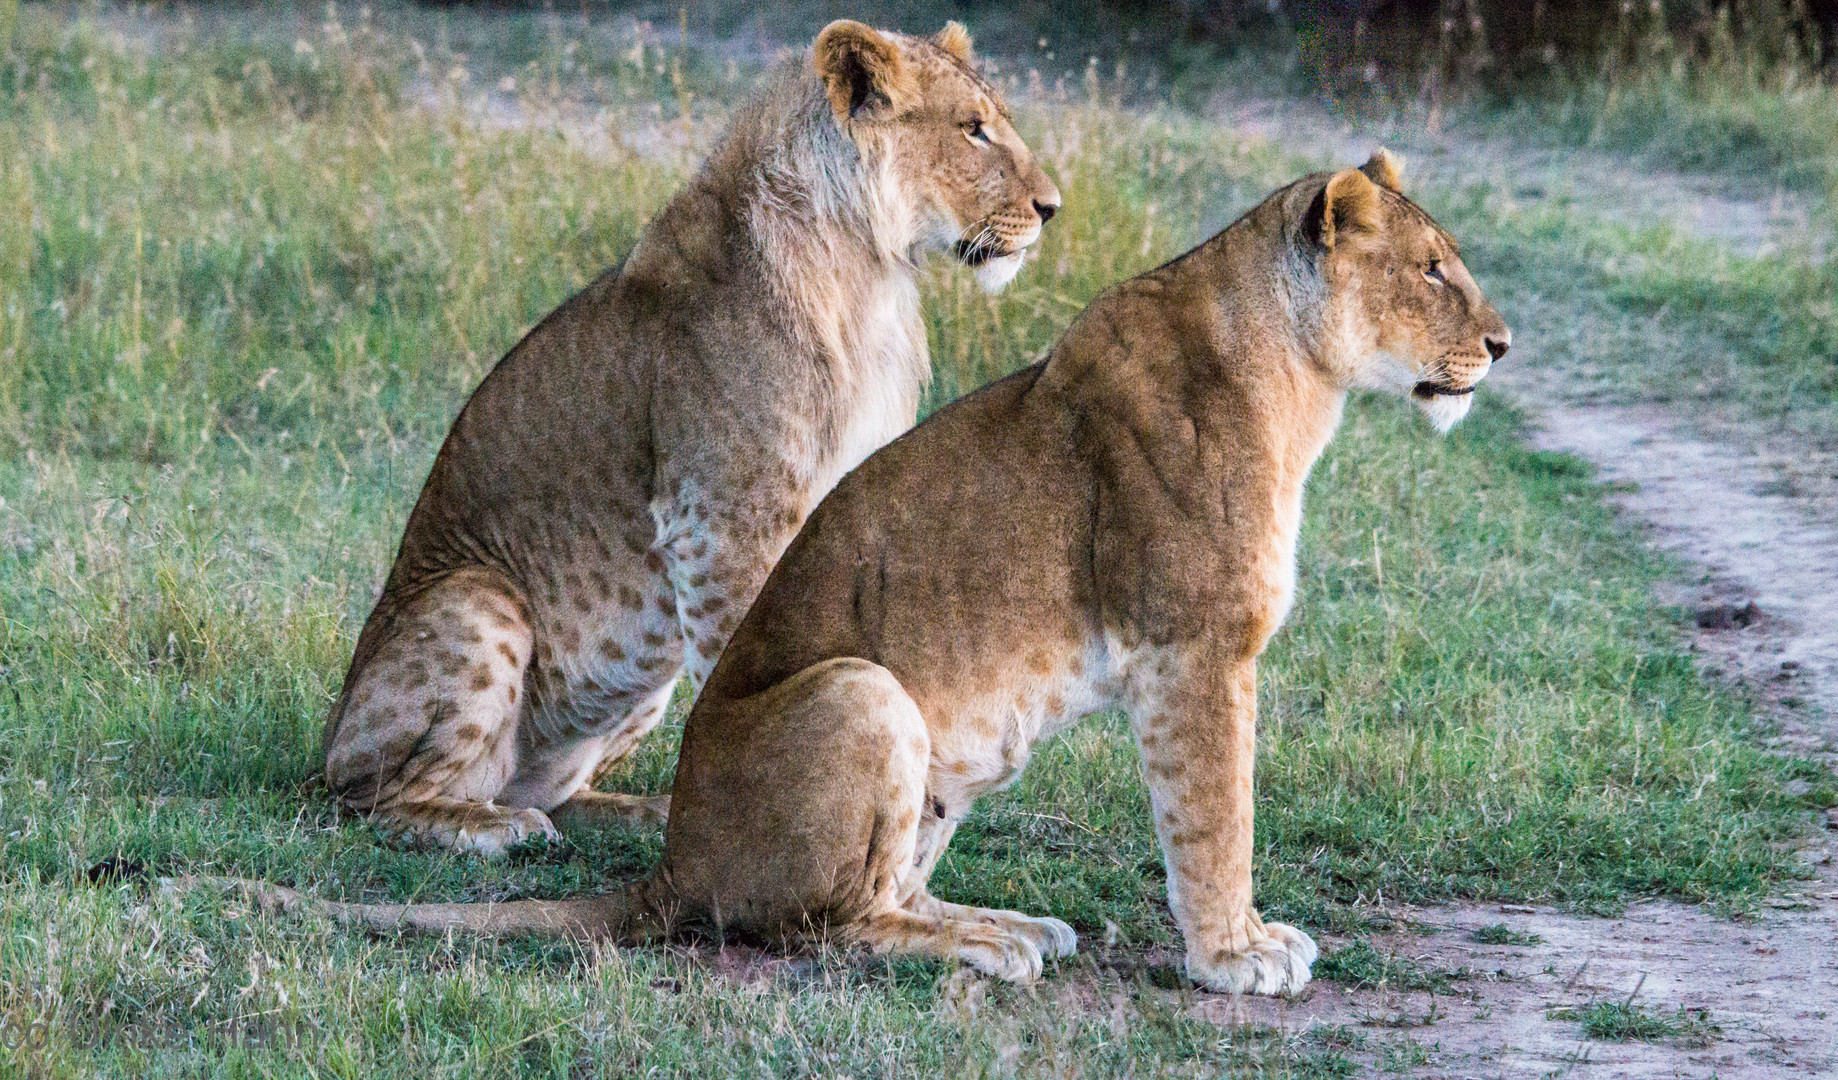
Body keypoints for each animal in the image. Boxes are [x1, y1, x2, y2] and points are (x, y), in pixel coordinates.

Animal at [222, 151, 1507, 999]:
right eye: (1431, 271)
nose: (1501, 348)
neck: (1298, 382)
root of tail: (671, 865)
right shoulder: (1194, 650)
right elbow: (1213, 816)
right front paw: (1233, 955)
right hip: (863, 688)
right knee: (822, 929)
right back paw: (983, 946)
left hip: (951, 749)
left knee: (877, 894)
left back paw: (990, 918)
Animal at [321, 21, 1058, 855]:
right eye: (972, 128)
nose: (1052, 207)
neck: (864, 270)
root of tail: (329, 737)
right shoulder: (724, 523)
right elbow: (739, 668)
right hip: (479, 601)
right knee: (376, 799)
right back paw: (500, 827)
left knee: (553, 790)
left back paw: (633, 814)